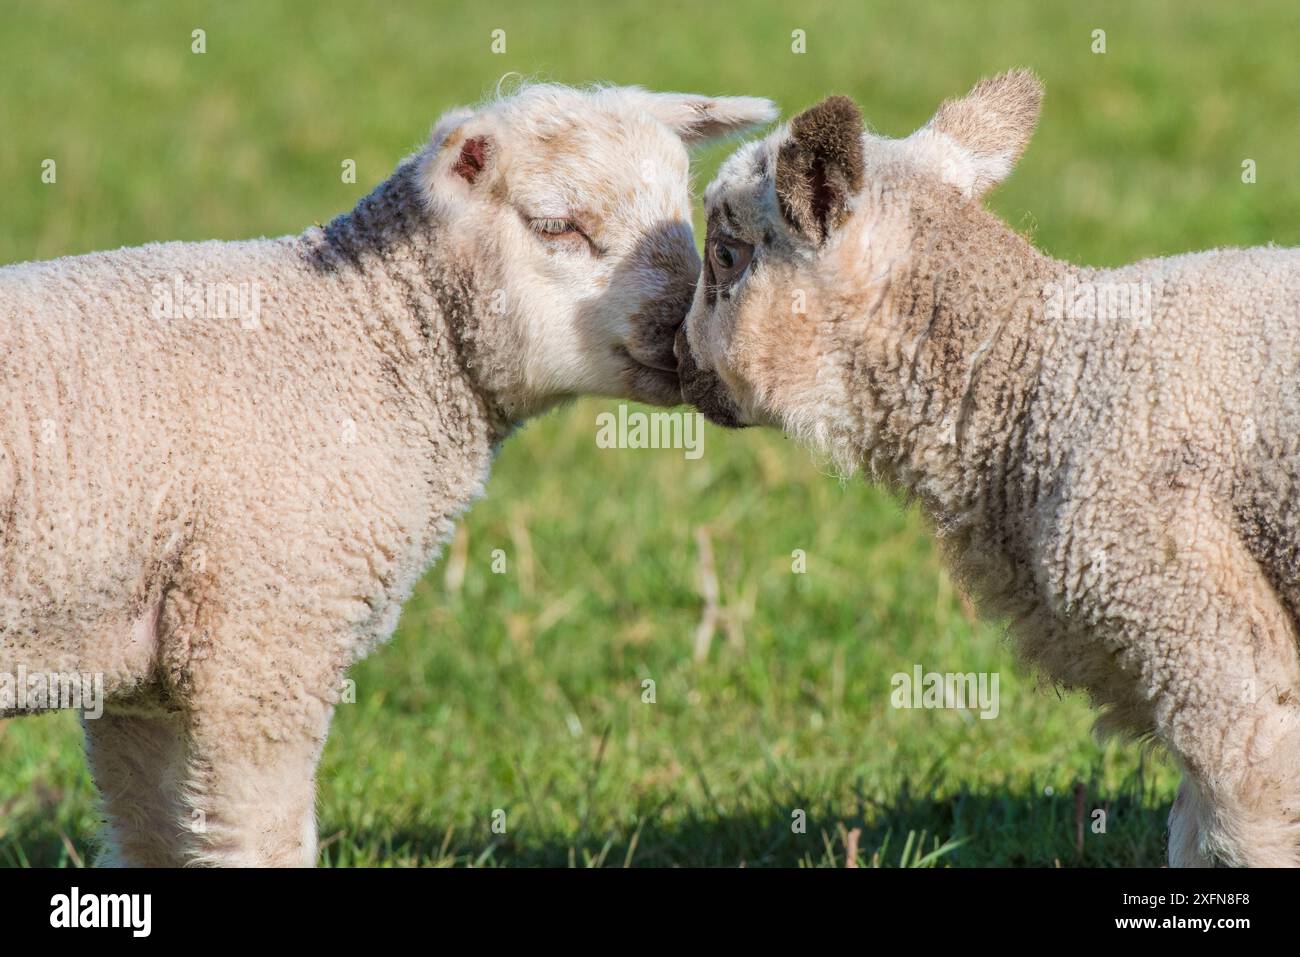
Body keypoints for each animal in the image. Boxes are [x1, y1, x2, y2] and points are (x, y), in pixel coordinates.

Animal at [0, 82, 769, 868]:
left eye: (682, 216)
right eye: (557, 226)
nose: (684, 333)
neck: (360, 333)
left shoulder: (143, 673)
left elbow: (155, 837)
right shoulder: (261, 641)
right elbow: (264, 840)